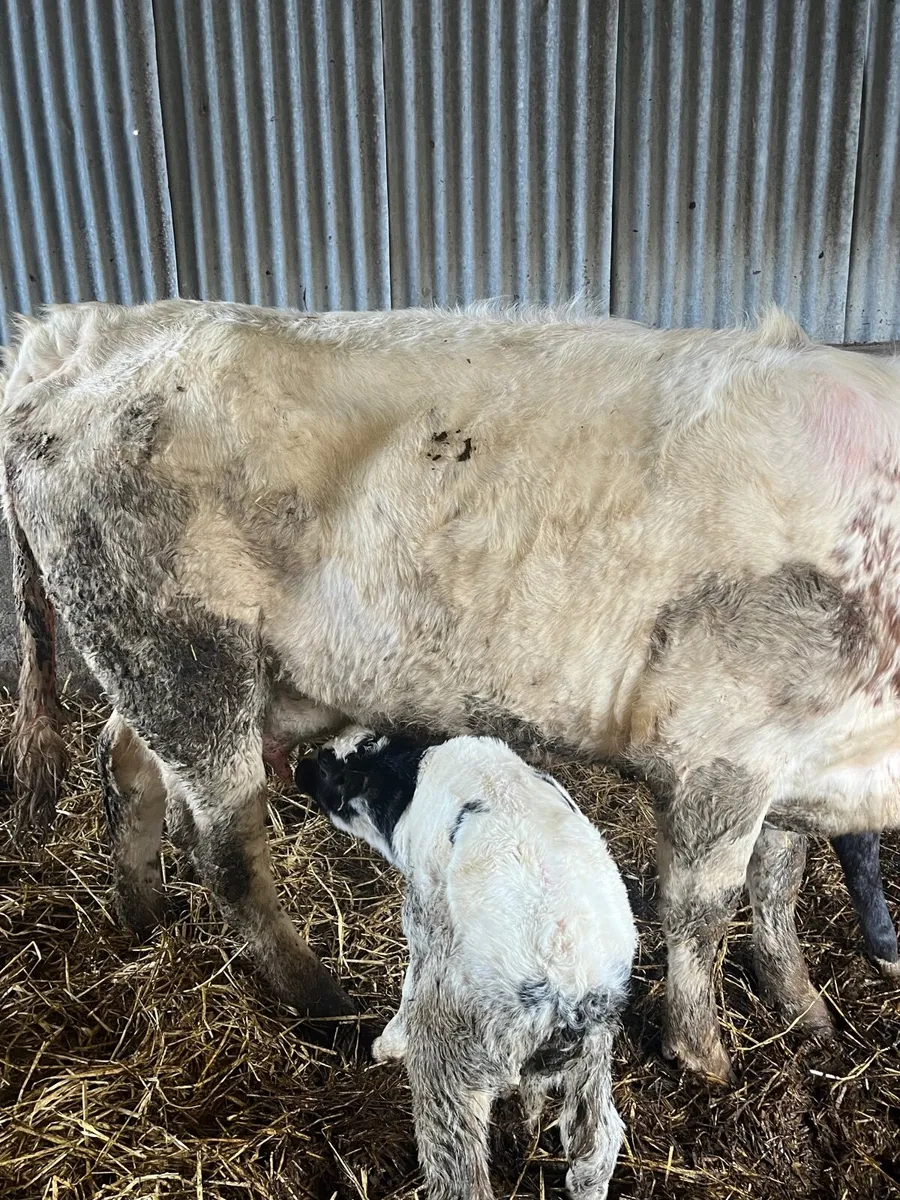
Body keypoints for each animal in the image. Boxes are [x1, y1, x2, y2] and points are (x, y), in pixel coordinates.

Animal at [2, 298, 900, 1083]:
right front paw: (704, 1054)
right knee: (225, 848)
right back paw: (323, 1000)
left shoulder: (797, 758)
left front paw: (803, 1008)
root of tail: (78, 333)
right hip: (180, 652)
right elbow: (701, 913)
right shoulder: (718, 751)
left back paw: (141, 913)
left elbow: (778, 887)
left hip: (167, 664)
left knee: (123, 761)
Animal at [298, 726, 636, 1200]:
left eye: (329, 767)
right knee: (598, 1139)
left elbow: (414, 975)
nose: (298, 770)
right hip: (593, 1052)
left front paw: (387, 1043)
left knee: (459, 1170)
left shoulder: (427, 909)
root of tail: (570, 997)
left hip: (458, 1053)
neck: (407, 783)